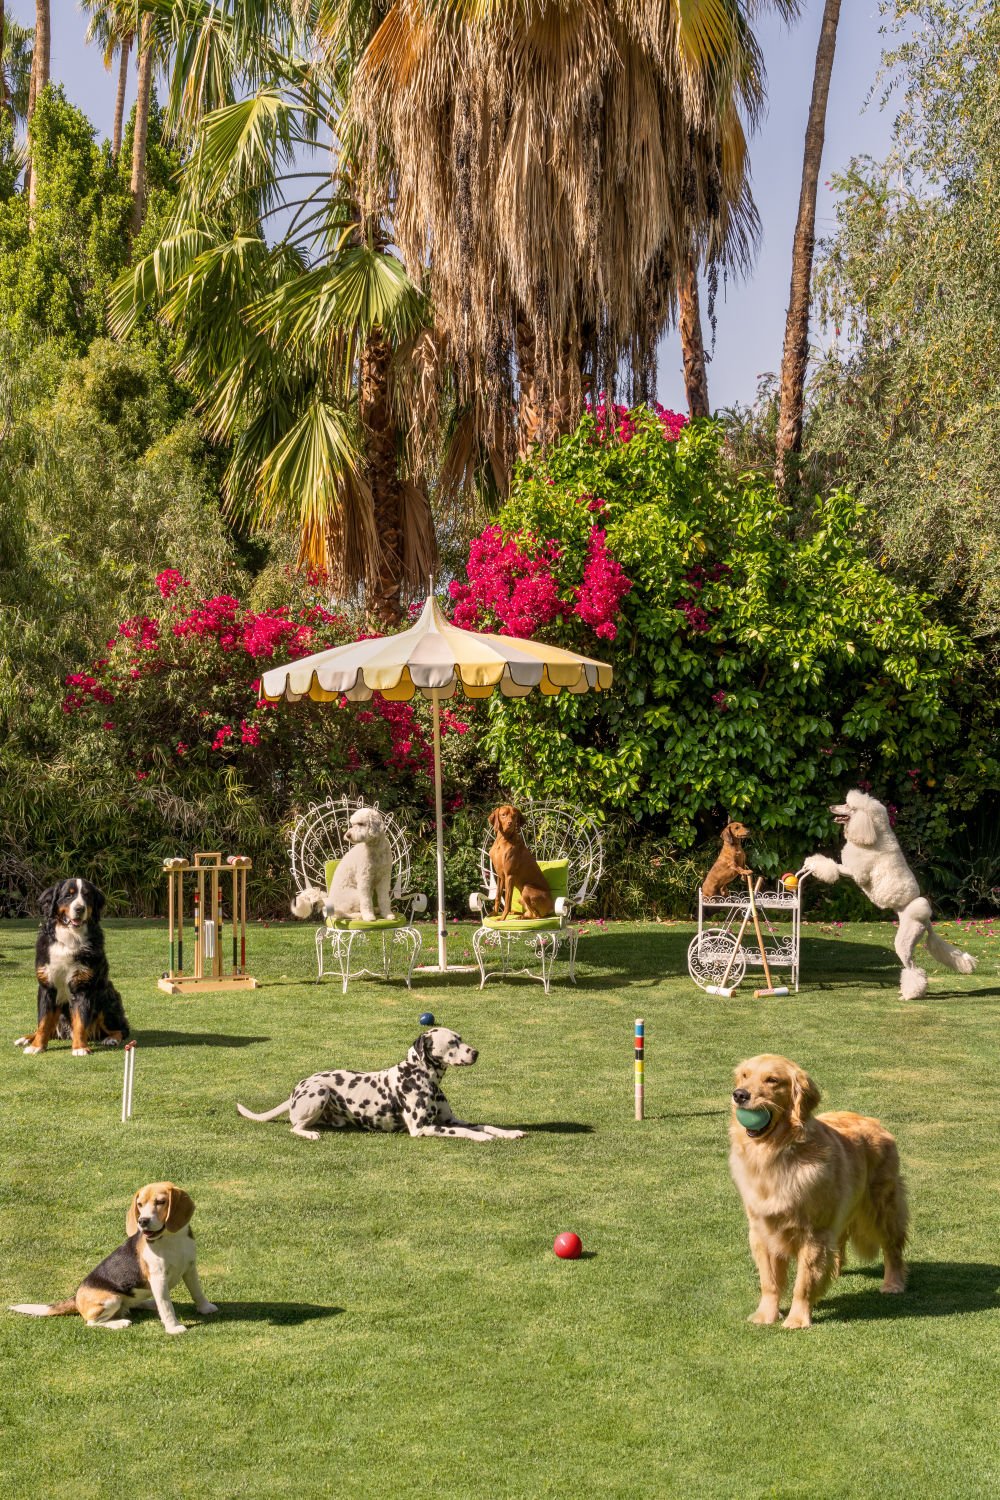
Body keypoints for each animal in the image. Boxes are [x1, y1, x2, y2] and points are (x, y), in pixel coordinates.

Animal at [14, 876, 131, 1056]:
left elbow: (80, 1022)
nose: (80, 908)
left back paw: (111, 1039)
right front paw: (36, 1046)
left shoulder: (84, 986)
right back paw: (26, 1039)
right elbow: (43, 1023)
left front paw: (80, 1048)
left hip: (105, 998)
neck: (69, 938)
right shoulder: (47, 987)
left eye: (87, 895)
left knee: (122, 1030)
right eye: (68, 895)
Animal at [238, 1026, 527, 1140]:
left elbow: (484, 1125)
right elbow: (466, 1132)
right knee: (295, 1126)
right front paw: (483, 1138)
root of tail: (298, 1087)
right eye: (452, 1042)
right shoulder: (423, 1128)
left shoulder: (450, 1120)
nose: (475, 1052)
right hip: (319, 1092)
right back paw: (309, 1133)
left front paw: (508, 1132)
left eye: (461, 1038)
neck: (422, 1076)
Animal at [728, 1056, 905, 1326]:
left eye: (772, 1080)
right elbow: (769, 1281)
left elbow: (803, 1282)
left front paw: (797, 1319)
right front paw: (766, 1315)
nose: (739, 1095)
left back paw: (893, 1284)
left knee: (892, 1247)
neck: (776, 1153)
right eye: (745, 1076)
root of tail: (875, 1123)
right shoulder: (762, 1229)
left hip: (882, 1206)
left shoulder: (813, 1232)